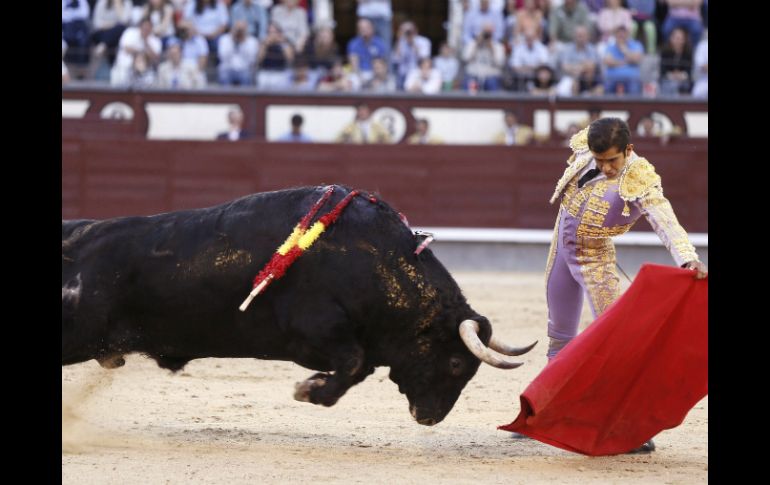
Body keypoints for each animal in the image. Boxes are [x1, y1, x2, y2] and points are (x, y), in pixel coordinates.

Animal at [62, 185, 535, 426]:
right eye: (455, 364)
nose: (430, 418)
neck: (373, 259)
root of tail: (76, 236)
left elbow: (357, 368)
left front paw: (315, 390)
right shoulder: (315, 330)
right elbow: (353, 362)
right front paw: (308, 390)